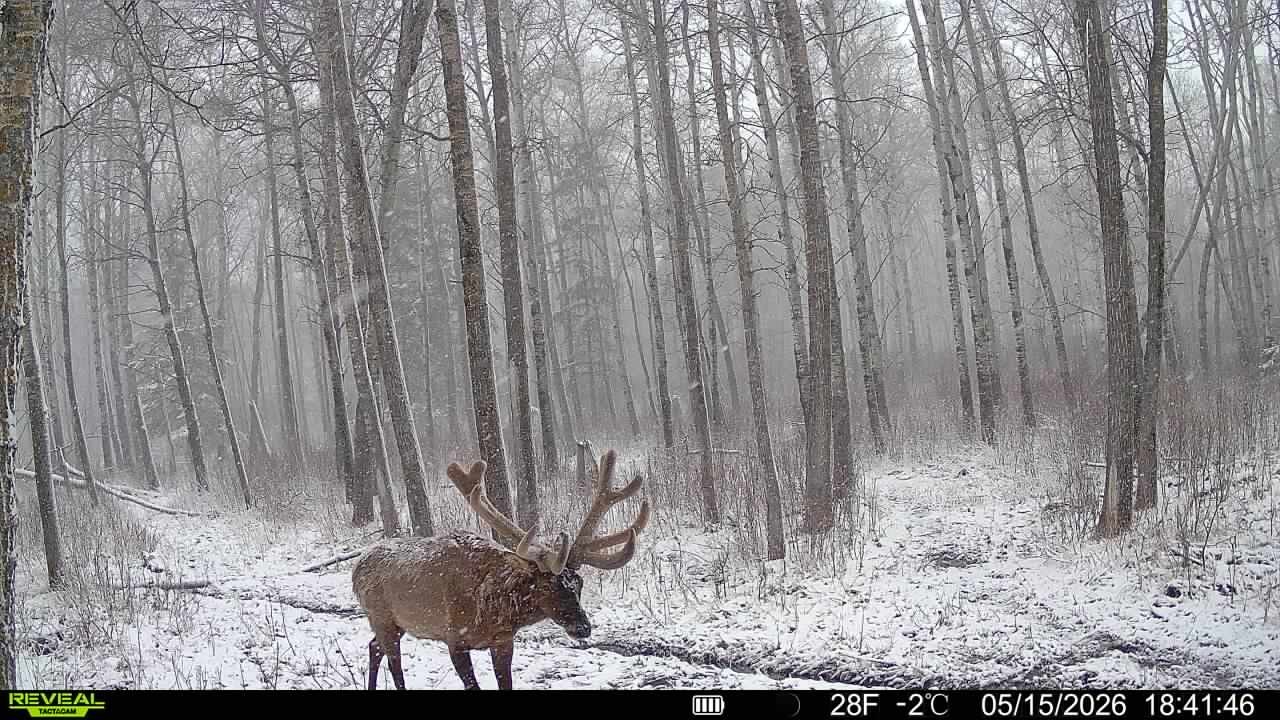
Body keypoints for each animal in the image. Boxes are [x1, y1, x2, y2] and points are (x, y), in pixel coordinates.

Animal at [351, 448, 649, 690]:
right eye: (547, 585)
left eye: (579, 583)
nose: (583, 627)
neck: (492, 609)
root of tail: (356, 568)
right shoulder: (454, 638)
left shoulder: (503, 641)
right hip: (381, 616)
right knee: (393, 663)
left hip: (395, 623)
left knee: (373, 647)